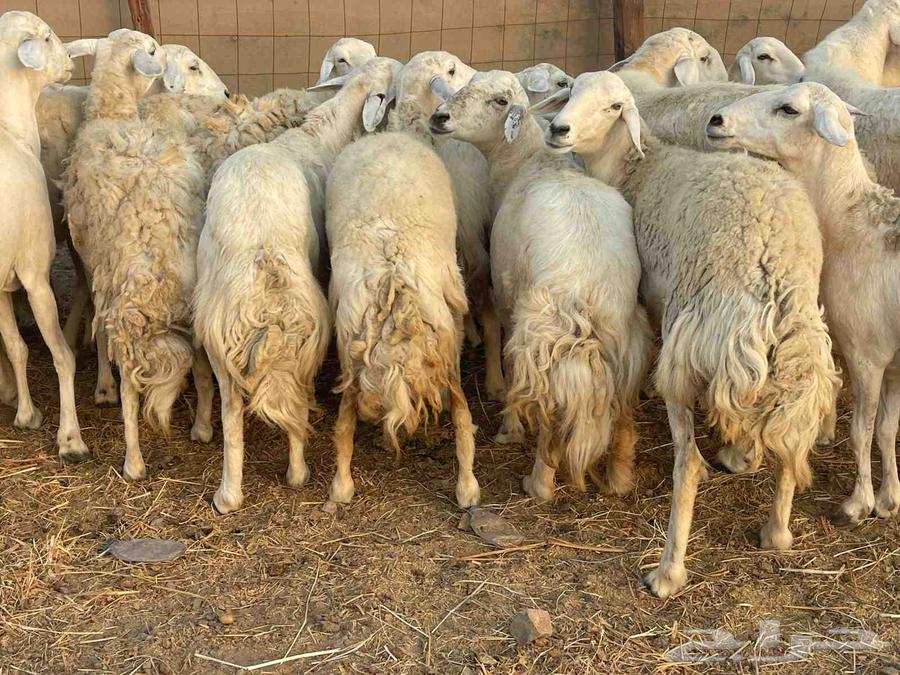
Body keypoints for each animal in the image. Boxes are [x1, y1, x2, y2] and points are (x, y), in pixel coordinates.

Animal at [195, 58, 399, 513]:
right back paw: (291, 475)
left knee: (242, 412)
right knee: (276, 406)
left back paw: (233, 494)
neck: (315, 138)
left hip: (248, 343)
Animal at [429, 71, 651, 501]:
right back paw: (619, 478)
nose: (439, 117)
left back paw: (540, 482)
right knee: (624, 410)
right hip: (625, 339)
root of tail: (587, 289)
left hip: (545, 332)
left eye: (500, 101)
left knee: (550, 410)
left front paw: (509, 424)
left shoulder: (507, 293)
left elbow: (500, 340)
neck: (528, 162)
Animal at [541, 71, 838, 598]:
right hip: (797, 353)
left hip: (687, 349)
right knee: (791, 436)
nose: (559, 129)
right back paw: (776, 531)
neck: (636, 166)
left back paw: (667, 572)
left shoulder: (651, 302)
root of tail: (774, 273)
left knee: (690, 462)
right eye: (571, 91)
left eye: (613, 107)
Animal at [707, 82, 900, 525]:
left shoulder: (866, 354)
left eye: (789, 109)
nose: (716, 120)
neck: (851, 220)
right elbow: (887, 428)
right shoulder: (895, 361)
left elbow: (862, 429)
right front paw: (889, 499)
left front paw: (858, 503)